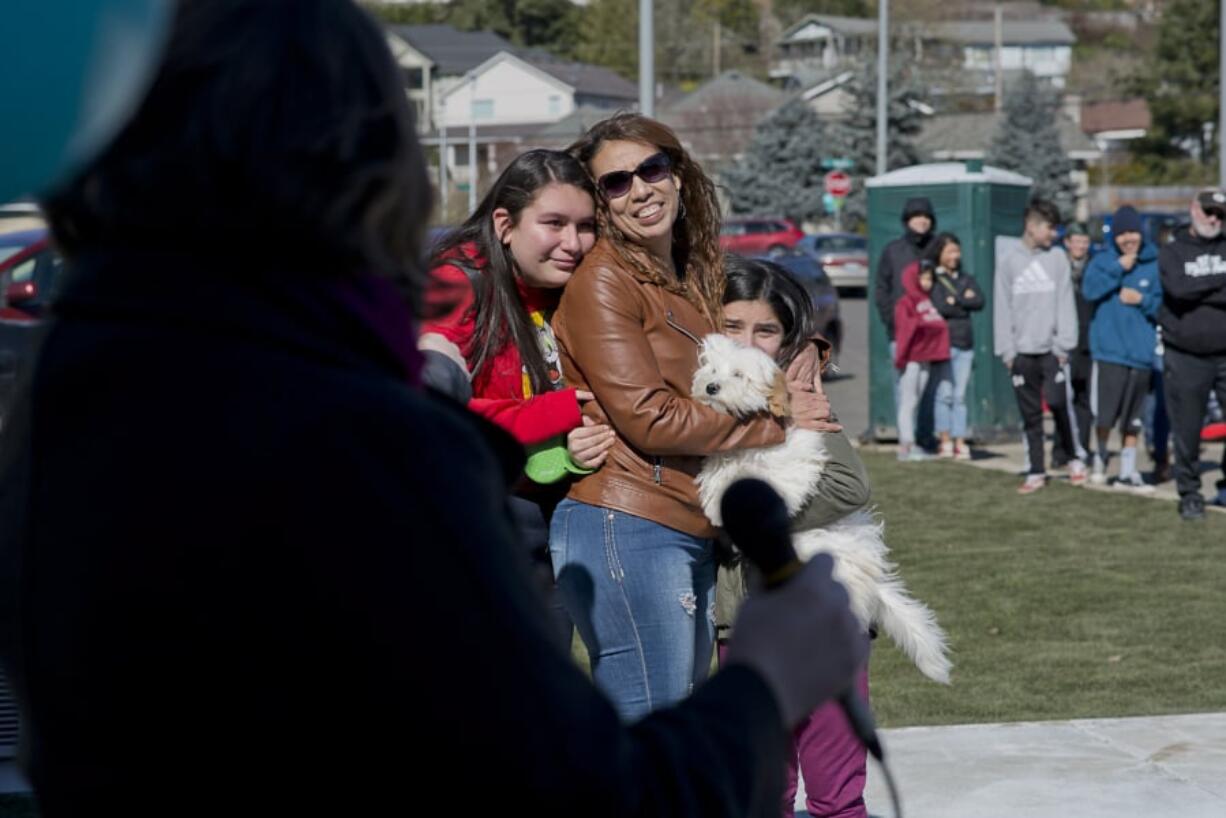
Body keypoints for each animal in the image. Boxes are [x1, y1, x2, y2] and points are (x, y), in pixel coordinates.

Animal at [696, 333, 951, 686]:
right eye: (712, 369)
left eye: (738, 374)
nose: (711, 387)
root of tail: (872, 581)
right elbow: (720, 472)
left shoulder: (789, 463)